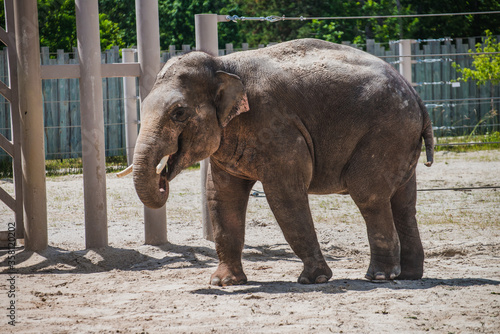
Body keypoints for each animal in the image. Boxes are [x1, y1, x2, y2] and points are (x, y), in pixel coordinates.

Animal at [122, 38, 434, 284]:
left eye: (179, 113)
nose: (162, 179)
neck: (222, 64)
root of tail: (416, 94)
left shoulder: (277, 128)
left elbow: (285, 195)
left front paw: (314, 279)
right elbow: (222, 197)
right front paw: (224, 283)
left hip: (386, 131)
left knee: (368, 193)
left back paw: (380, 276)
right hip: (401, 138)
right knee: (404, 202)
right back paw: (410, 275)